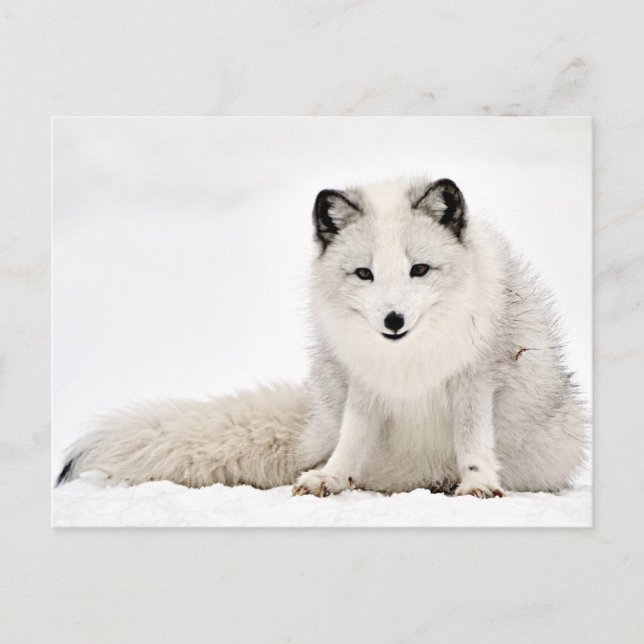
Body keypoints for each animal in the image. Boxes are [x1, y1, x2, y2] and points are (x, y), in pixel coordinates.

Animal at [56, 177, 587, 498]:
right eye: (364, 273)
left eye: (419, 269)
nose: (393, 320)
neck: (407, 360)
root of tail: (309, 423)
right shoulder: (363, 383)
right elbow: (352, 439)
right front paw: (332, 478)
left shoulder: (476, 379)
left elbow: (473, 439)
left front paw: (477, 484)